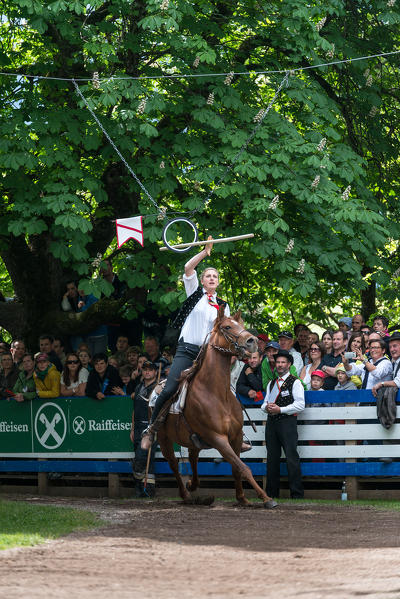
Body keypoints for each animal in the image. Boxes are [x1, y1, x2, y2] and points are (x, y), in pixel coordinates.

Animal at [157, 310, 278, 510]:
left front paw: (242, 498)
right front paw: (266, 498)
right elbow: (243, 467)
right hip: (164, 437)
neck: (216, 393)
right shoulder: (218, 438)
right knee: (173, 463)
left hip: (193, 440)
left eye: (241, 324)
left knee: (192, 458)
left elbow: (237, 468)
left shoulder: (235, 437)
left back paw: (193, 486)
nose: (252, 341)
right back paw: (186, 495)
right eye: (227, 327)